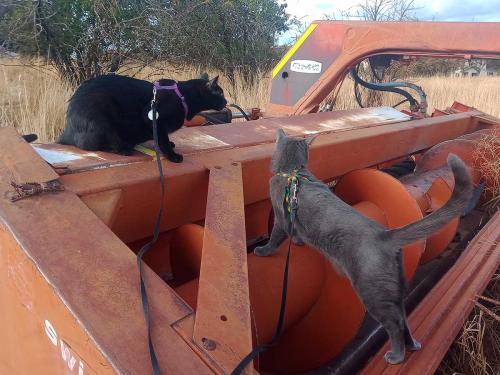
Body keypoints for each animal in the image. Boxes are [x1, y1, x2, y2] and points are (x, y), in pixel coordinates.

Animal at [56, 74, 227, 163]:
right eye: (220, 93)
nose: (226, 101)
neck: (182, 96)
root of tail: (67, 132)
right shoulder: (152, 117)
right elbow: (163, 140)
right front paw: (172, 156)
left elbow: (161, 138)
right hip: (101, 120)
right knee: (92, 145)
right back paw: (124, 148)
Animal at [254, 129, 472, 364]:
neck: (294, 172)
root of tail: (385, 234)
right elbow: (297, 234)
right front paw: (298, 242)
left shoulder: (281, 217)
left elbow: (275, 238)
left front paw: (263, 251)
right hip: (394, 287)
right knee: (403, 317)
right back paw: (412, 345)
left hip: (371, 289)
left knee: (394, 323)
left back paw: (396, 355)